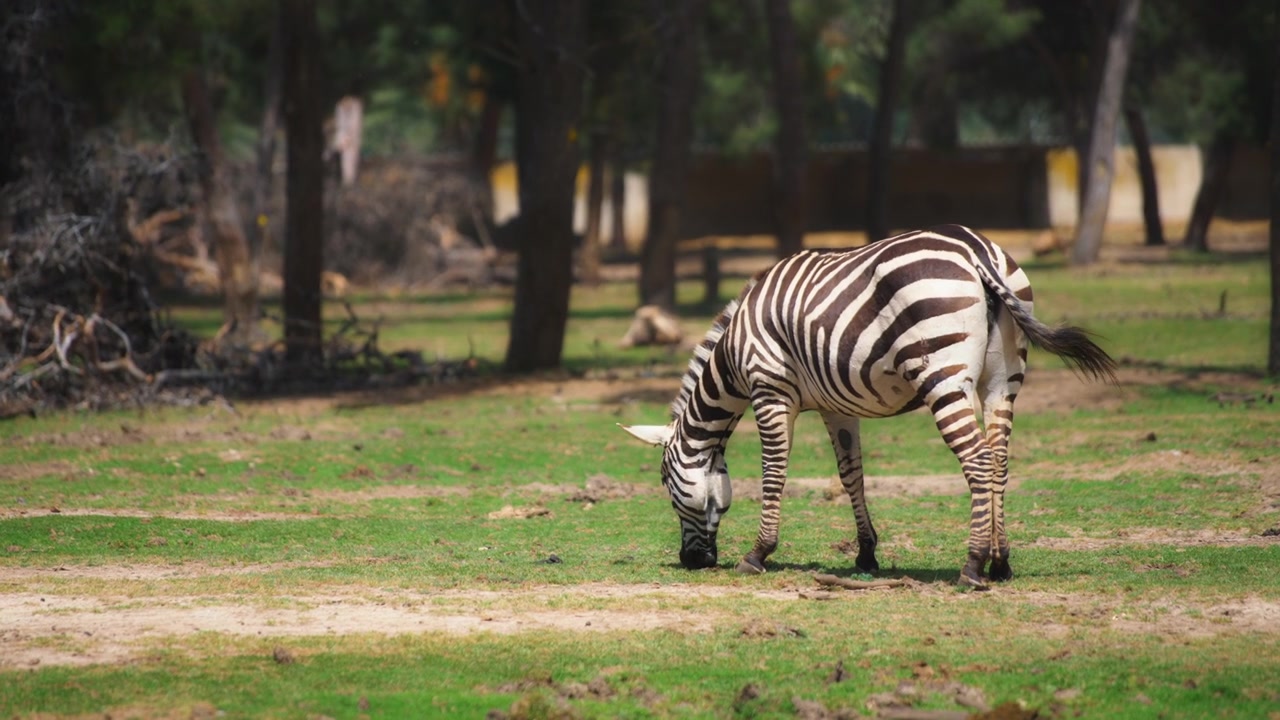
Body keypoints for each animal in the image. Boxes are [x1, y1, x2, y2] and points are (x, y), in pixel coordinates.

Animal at [621, 224, 1116, 588]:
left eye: (665, 484)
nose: (693, 562)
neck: (734, 356)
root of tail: (977, 249)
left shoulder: (770, 390)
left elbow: (774, 473)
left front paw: (758, 553)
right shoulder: (836, 406)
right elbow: (850, 475)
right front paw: (866, 552)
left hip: (942, 373)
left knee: (976, 460)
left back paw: (973, 566)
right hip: (1002, 382)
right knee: (998, 461)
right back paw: (1001, 563)